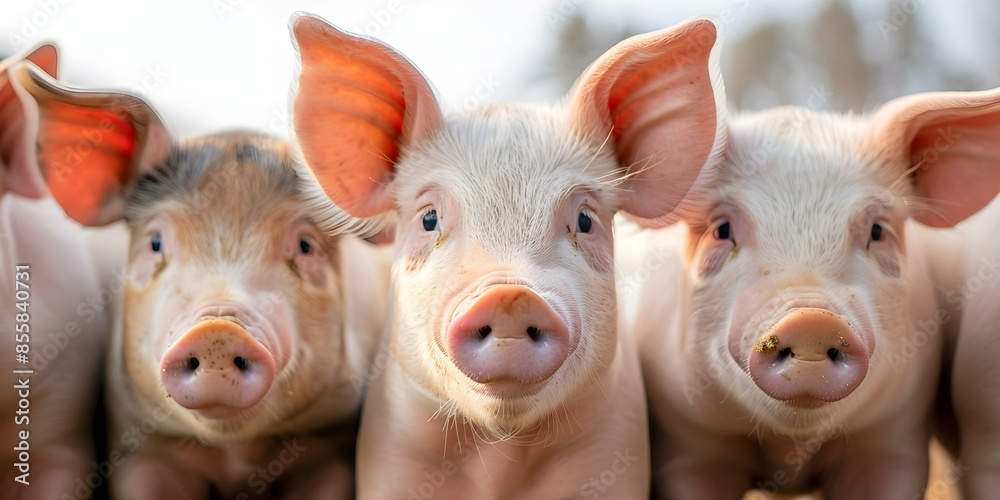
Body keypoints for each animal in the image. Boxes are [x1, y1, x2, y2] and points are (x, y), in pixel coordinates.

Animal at [13, 61, 392, 499]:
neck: (236, 454)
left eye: (305, 245)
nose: (217, 330)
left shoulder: (330, 444)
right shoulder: (142, 448)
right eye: (156, 242)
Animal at [620, 76, 1000, 498]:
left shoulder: (892, 440)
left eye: (877, 230)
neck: (789, 446)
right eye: (721, 230)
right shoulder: (687, 445)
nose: (810, 320)